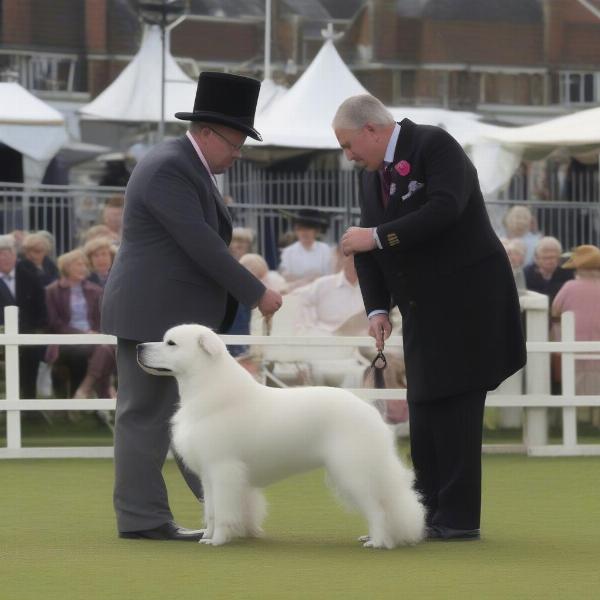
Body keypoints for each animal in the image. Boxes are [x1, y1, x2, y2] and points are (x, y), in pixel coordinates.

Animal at [137, 326, 426, 548]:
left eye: (171, 343)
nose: (139, 346)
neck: (209, 390)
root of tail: (370, 411)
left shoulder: (223, 470)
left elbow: (223, 511)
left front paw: (218, 540)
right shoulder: (208, 476)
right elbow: (211, 511)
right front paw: (207, 536)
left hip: (353, 470)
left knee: (378, 509)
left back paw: (377, 541)